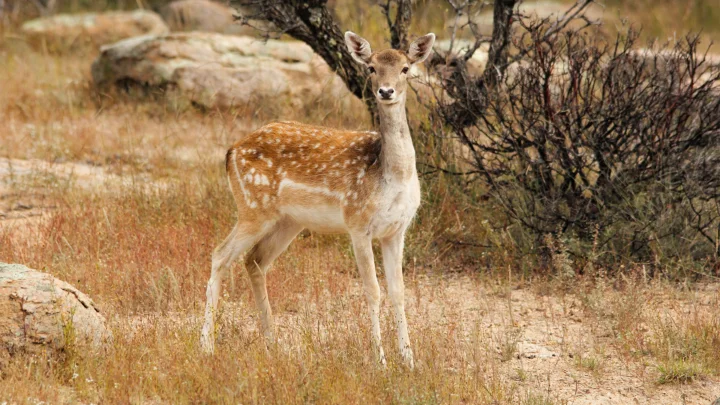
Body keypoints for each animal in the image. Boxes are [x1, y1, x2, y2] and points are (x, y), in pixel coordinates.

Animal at [200, 31, 436, 369]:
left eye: (405, 68)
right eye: (372, 68)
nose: (386, 91)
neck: (390, 175)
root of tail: (231, 151)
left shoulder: (396, 230)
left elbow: (399, 291)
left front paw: (409, 361)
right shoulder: (357, 222)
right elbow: (372, 290)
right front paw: (380, 361)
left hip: (288, 221)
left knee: (255, 260)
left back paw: (272, 342)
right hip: (252, 207)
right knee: (220, 254)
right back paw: (206, 345)